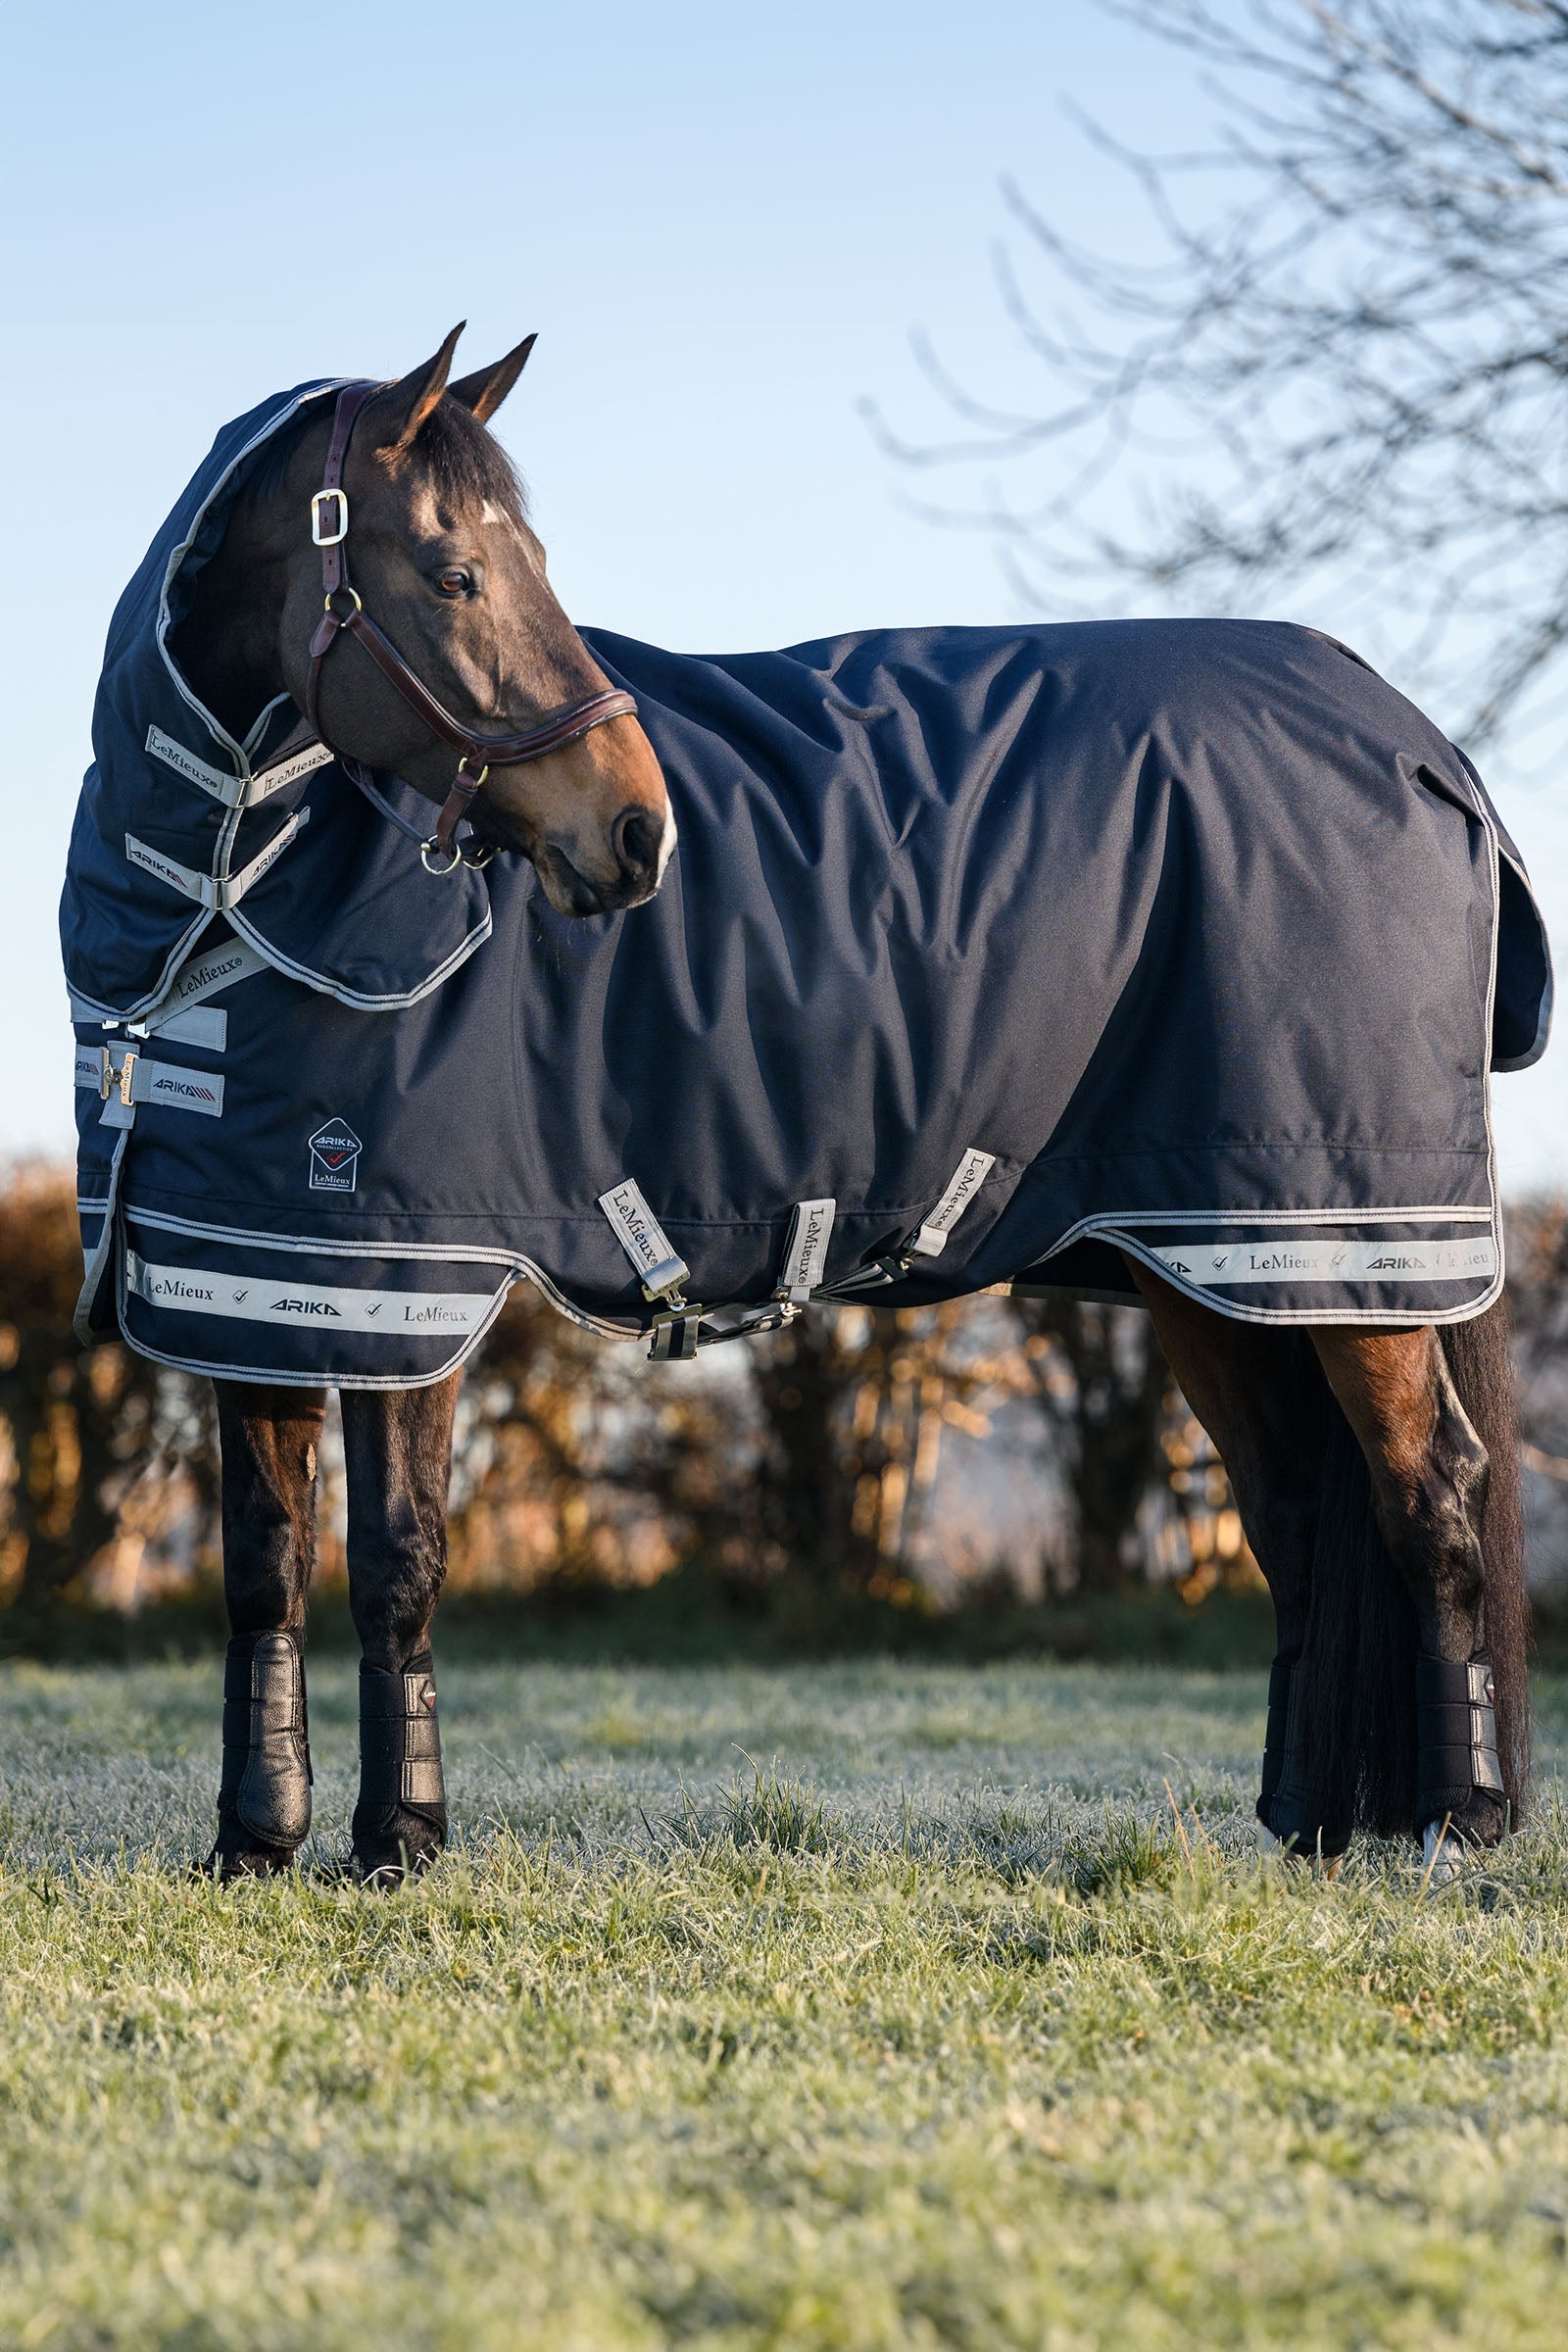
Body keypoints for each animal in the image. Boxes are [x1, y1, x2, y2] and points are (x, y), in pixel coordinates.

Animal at [66, 326, 1536, 1884]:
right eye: (456, 575)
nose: (637, 832)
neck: (220, 908)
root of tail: (1424, 745)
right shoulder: (248, 1279)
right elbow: (263, 1567)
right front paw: (255, 1841)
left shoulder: (404, 1280)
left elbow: (397, 1563)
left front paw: (401, 1840)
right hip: (1220, 1271)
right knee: (1306, 1515)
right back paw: (1313, 1823)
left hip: (1347, 1249)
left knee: (1433, 1492)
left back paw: (1459, 1821)